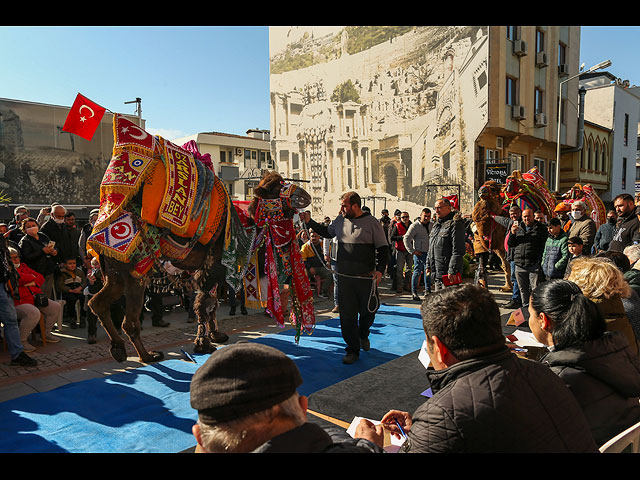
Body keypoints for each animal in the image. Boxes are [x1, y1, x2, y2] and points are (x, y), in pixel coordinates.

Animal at [87, 115, 312, 364]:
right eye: (274, 188)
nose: (304, 195)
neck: (243, 225)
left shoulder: (214, 269)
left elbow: (211, 304)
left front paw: (216, 336)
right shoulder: (213, 267)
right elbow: (203, 305)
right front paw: (203, 344)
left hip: (115, 273)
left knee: (97, 303)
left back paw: (118, 349)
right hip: (134, 272)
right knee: (129, 320)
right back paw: (147, 356)